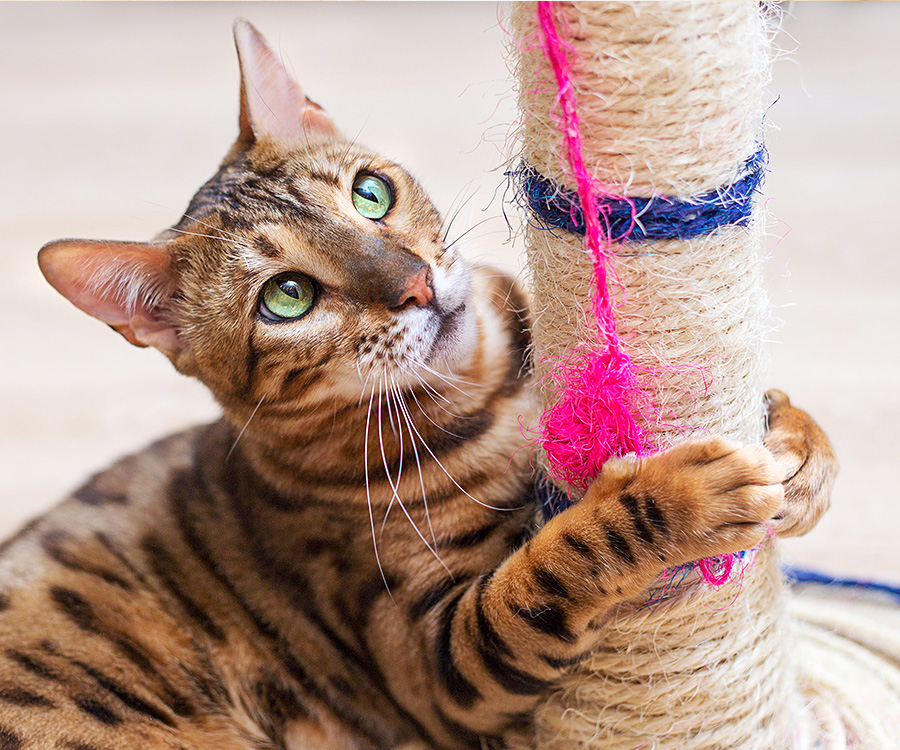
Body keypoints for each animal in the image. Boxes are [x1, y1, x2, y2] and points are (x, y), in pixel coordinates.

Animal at [0, 20, 836, 750]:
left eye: (371, 193)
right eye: (286, 297)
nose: (414, 284)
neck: (495, 392)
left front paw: (796, 451)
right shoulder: (440, 660)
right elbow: (559, 562)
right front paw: (683, 497)